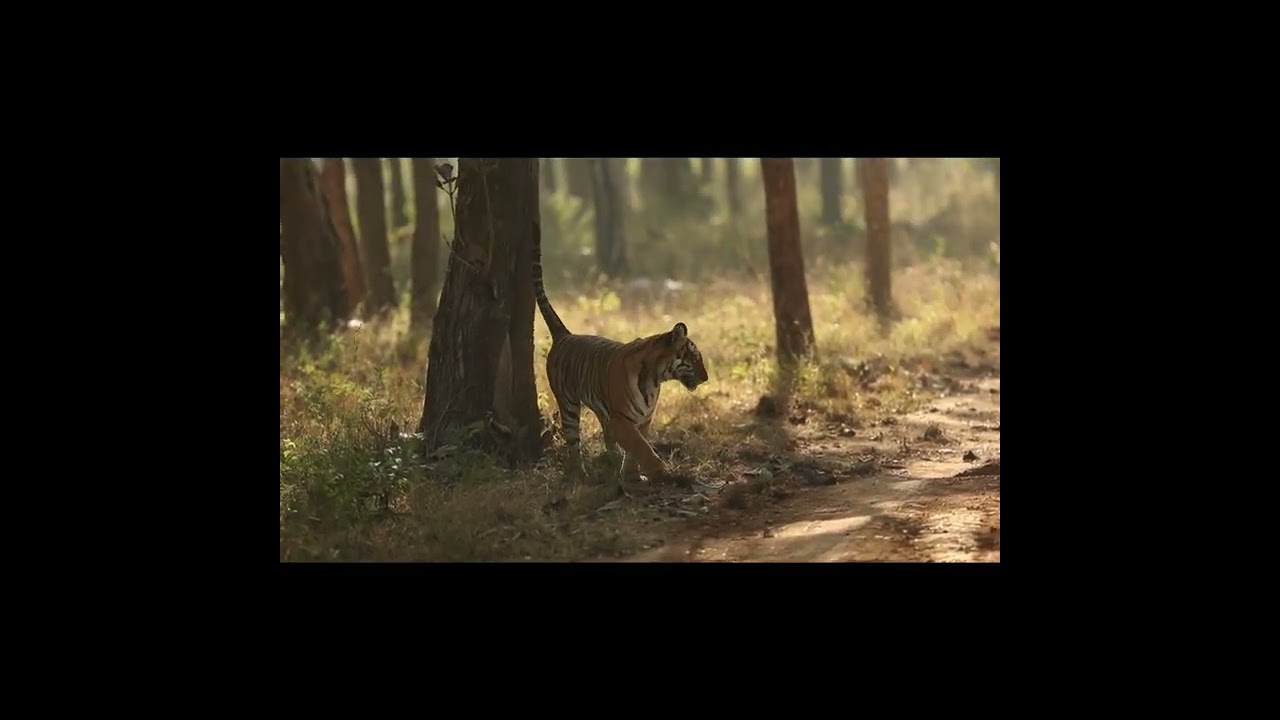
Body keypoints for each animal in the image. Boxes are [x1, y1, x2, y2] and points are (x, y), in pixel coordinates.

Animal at [532, 220, 709, 496]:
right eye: (693, 356)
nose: (706, 377)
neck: (656, 379)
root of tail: (565, 335)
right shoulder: (622, 419)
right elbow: (640, 447)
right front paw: (659, 473)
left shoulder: (642, 419)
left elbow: (636, 448)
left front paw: (633, 476)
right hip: (569, 404)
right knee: (573, 442)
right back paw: (579, 475)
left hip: (601, 411)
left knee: (607, 439)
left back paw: (611, 463)